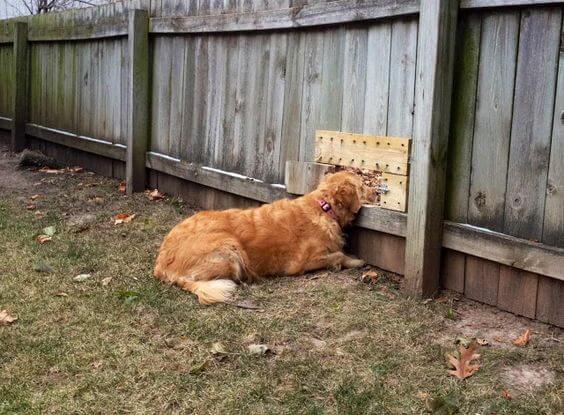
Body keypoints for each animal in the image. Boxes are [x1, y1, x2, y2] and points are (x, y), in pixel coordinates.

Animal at [154, 171, 370, 304]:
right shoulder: (303, 263)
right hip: (229, 248)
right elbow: (338, 255)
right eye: (363, 185)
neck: (324, 207)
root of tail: (161, 266)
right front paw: (355, 261)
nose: (376, 191)